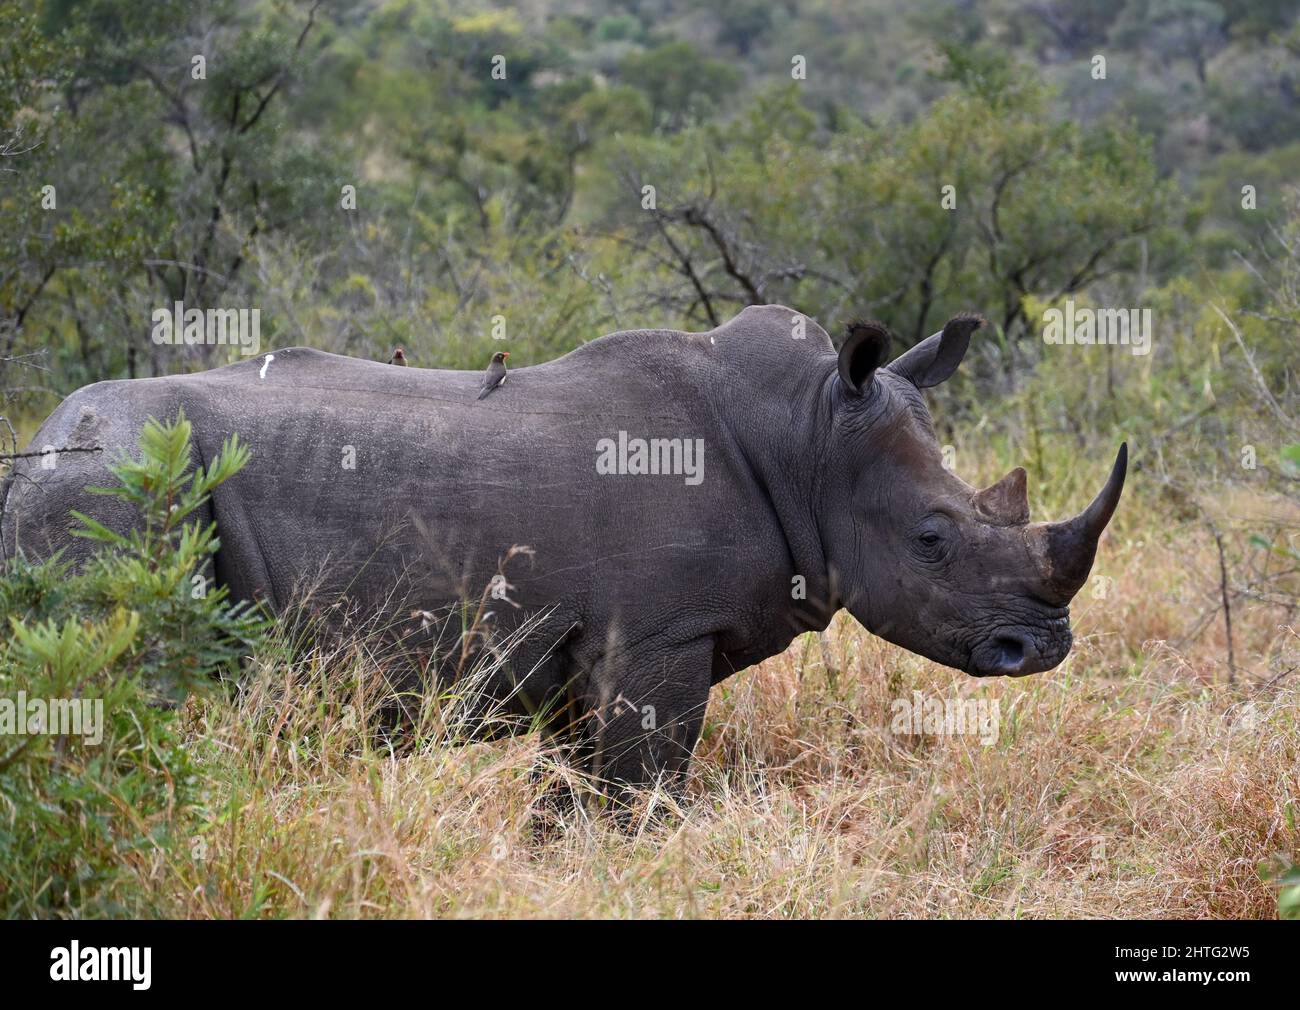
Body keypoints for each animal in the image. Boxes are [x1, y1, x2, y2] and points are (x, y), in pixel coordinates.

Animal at [1, 305, 1125, 797]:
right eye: (933, 540)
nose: (1043, 647)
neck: (807, 435)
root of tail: (36, 448)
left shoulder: (596, 644)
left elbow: (582, 791)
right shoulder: (658, 634)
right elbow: (641, 787)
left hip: (90, 485)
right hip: (105, 493)